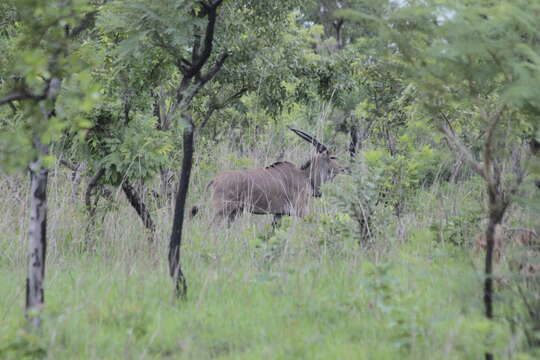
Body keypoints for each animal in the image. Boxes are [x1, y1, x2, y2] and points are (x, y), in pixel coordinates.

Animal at [202, 129, 346, 225]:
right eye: (332, 157)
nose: (346, 168)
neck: (305, 176)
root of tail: (215, 180)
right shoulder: (301, 210)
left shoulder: (279, 214)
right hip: (222, 210)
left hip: (233, 212)